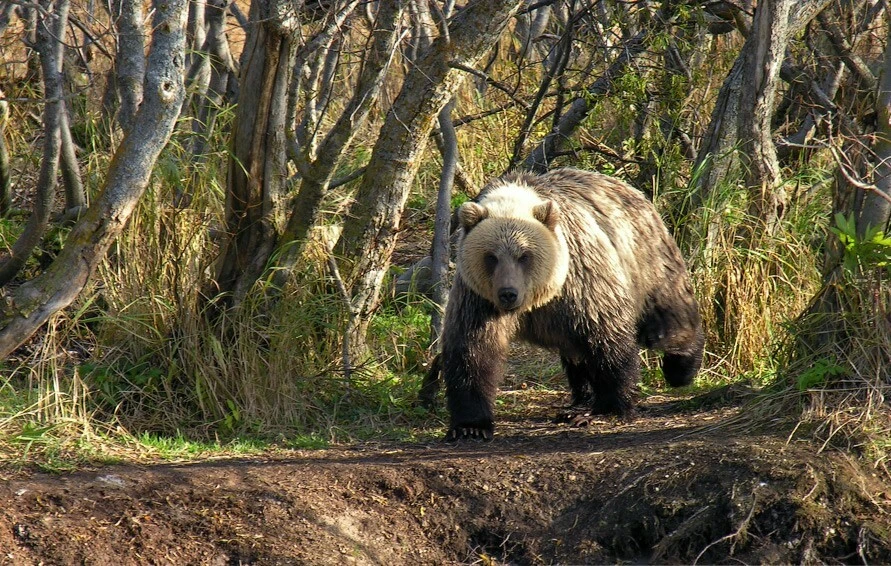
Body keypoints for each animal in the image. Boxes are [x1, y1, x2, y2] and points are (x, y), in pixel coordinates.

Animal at [439, 167, 704, 440]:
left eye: (524, 255)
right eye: (491, 257)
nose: (508, 294)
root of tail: (633, 191)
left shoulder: (581, 281)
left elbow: (606, 338)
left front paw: (612, 406)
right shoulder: (479, 299)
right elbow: (473, 348)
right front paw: (470, 425)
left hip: (646, 259)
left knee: (668, 314)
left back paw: (681, 367)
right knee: (576, 354)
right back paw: (578, 401)